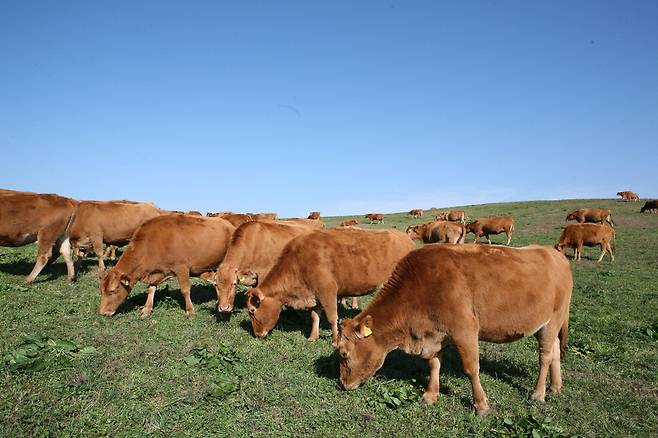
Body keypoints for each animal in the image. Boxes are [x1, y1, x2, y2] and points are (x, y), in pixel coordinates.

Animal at [98, 216, 234, 318]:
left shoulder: (181, 268)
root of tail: (229, 225)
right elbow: (151, 288)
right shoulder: (157, 272)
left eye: (112, 291)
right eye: (101, 291)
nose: (102, 313)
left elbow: (185, 290)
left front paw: (190, 311)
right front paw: (146, 309)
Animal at [243, 226, 412, 346]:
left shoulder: (328, 292)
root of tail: (406, 239)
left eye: (252, 311)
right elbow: (314, 316)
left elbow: (332, 318)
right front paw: (313, 337)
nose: (257, 334)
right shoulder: (314, 294)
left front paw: (335, 341)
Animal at [336, 245, 572, 416]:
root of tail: (556, 254)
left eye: (344, 354)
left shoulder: (465, 331)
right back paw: (556, 387)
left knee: (545, 356)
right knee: (555, 351)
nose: (343, 384)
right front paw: (430, 395)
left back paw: (538, 393)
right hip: (550, 324)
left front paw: (481, 405)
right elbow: (433, 365)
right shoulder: (435, 336)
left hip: (552, 320)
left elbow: (471, 369)